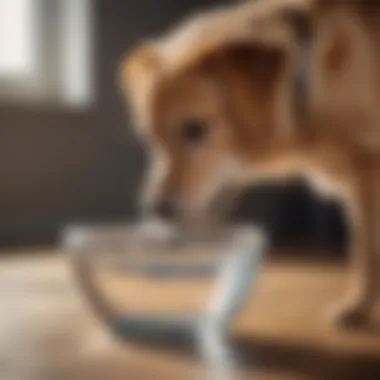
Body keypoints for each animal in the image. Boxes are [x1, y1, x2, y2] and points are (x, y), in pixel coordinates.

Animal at [119, 0, 380, 326]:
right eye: (149, 137)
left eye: (194, 129)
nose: (157, 210)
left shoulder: (367, 174)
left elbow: (365, 251)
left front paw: (358, 307)